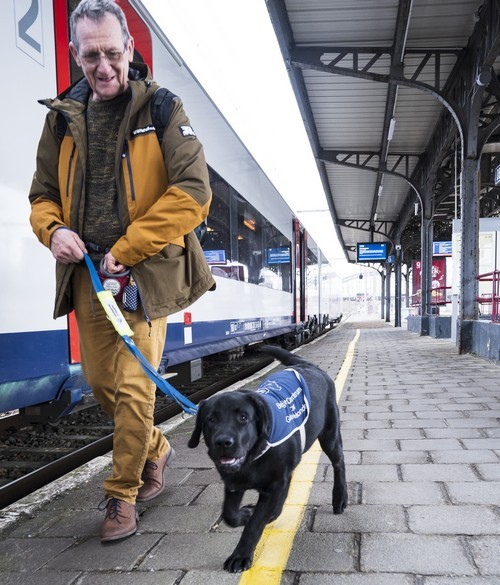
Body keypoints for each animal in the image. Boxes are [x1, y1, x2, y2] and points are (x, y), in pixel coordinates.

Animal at [188, 344, 348, 572]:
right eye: (210, 419)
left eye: (243, 417)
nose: (223, 442)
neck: (253, 460)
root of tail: (307, 366)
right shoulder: (234, 483)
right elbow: (230, 514)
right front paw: (246, 513)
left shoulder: (274, 483)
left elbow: (255, 523)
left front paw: (240, 555)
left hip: (329, 434)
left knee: (338, 462)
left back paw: (340, 497)